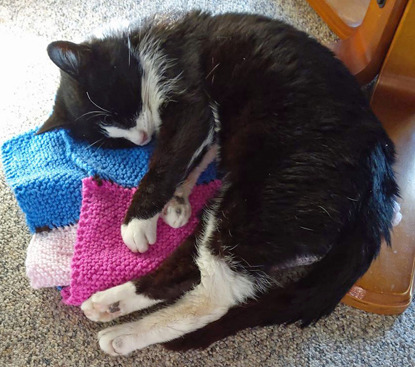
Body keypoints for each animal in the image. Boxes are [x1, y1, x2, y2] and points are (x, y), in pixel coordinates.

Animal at [38, 11, 400, 356]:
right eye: (116, 142)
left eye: (119, 110)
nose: (141, 139)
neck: (148, 40)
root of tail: (378, 178)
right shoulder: (208, 125)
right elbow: (198, 154)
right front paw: (178, 200)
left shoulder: (191, 98)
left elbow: (169, 158)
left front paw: (138, 222)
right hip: (247, 214)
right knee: (192, 270)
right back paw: (111, 304)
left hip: (257, 204)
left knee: (215, 299)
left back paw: (125, 334)